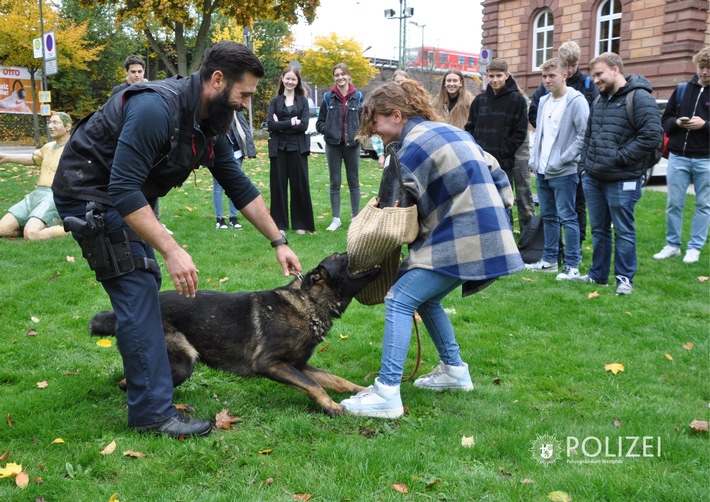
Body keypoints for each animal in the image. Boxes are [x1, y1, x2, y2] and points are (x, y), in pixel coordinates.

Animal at [89, 253, 384, 418]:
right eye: (343, 256)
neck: (309, 301)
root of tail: (118, 316)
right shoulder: (271, 364)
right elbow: (314, 385)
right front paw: (331, 407)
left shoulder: (298, 365)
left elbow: (336, 380)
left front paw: (364, 392)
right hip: (183, 362)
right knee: (135, 386)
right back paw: (176, 410)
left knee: (128, 383)